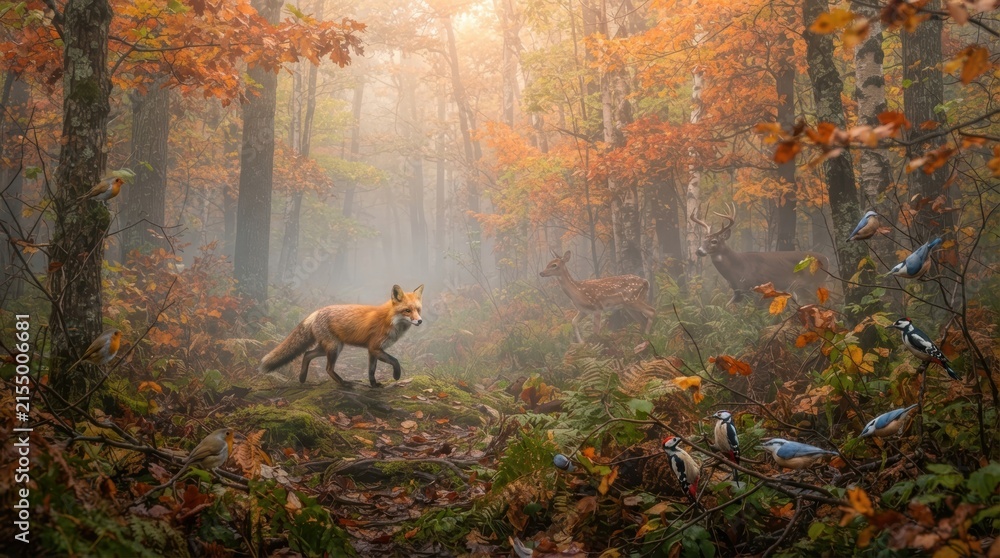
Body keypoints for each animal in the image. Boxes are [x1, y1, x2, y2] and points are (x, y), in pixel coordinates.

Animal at [260, 285, 424, 388]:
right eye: (407, 310)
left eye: (418, 310)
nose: (420, 321)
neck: (389, 320)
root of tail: (317, 312)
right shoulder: (375, 347)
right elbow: (395, 360)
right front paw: (396, 375)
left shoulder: (372, 350)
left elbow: (371, 370)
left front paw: (374, 385)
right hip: (334, 347)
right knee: (327, 368)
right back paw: (344, 383)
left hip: (327, 347)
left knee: (307, 354)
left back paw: (302, 378)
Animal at [690, 204, 829, 304]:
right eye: (703, 240)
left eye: (714, 241)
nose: (699, 251)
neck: (736, 269)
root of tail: (826, 258)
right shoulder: (737, 291)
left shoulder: (753, 286)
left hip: (814, 283)